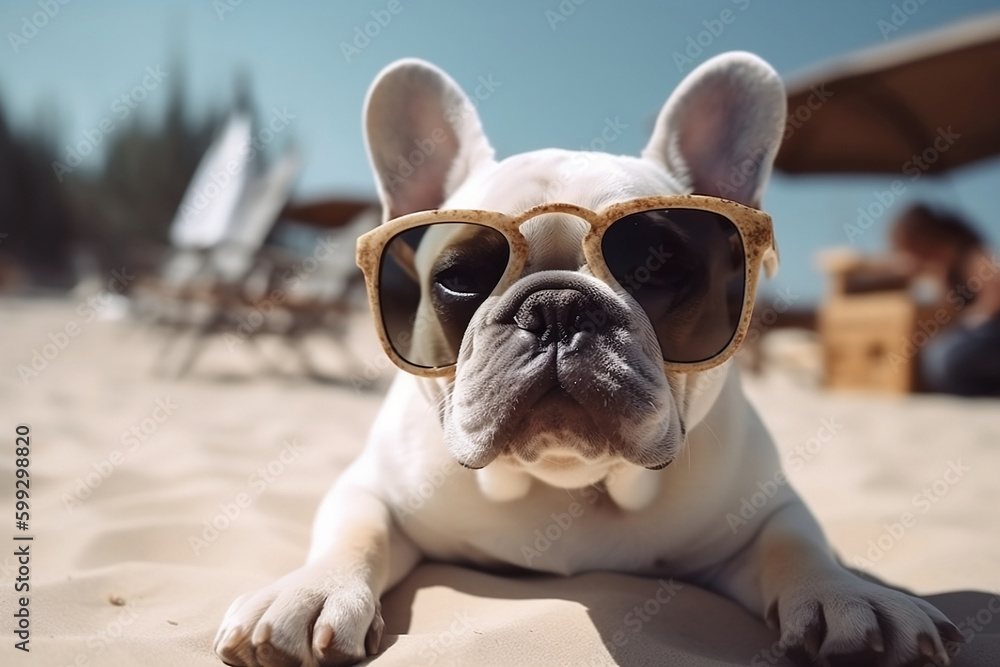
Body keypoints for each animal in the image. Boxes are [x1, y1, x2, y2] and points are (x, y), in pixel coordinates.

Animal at [215, 53, 964, 667]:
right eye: (459, 278)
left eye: (657, 267)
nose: (556, 308)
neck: (566, 484)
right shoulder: (373, 486)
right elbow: (354, 531)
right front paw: (309, 592)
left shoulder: (763, 508)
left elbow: (797, 544)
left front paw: (850, 595)